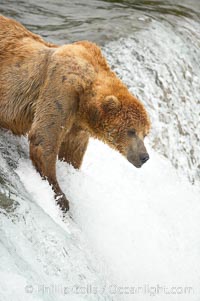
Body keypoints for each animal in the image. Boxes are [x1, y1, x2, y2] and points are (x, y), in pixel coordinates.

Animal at [0, 15, 150, 211]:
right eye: (131, 131)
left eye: (145, 134)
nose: (144, 156)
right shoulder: (61, 88)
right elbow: (44, 138)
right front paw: (60, 195)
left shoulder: (77, 123)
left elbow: (71, 152)